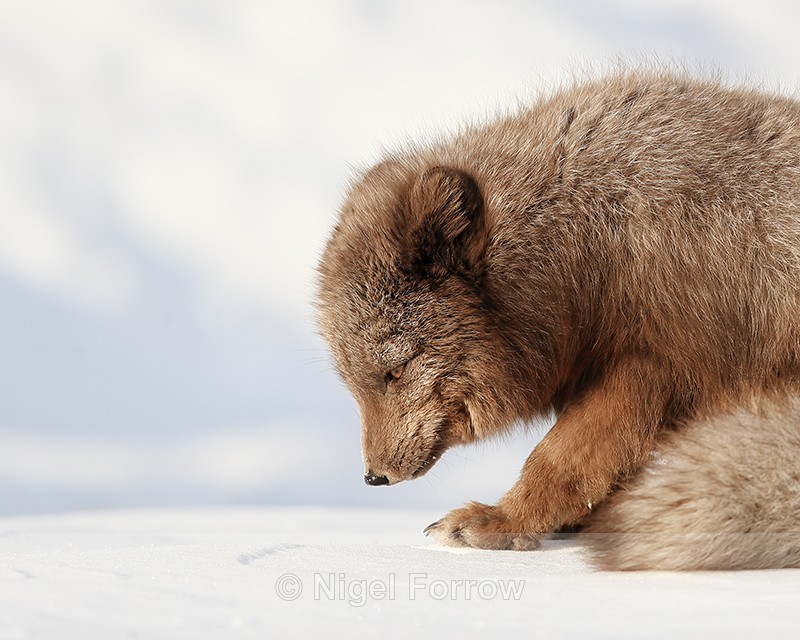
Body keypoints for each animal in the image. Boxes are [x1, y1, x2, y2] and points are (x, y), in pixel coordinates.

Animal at [316, 70, 800, 570]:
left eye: (396, 370)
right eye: (353, 385)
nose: (373, 478)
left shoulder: (655, 361)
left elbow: (558, 457)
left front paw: (502, 522)